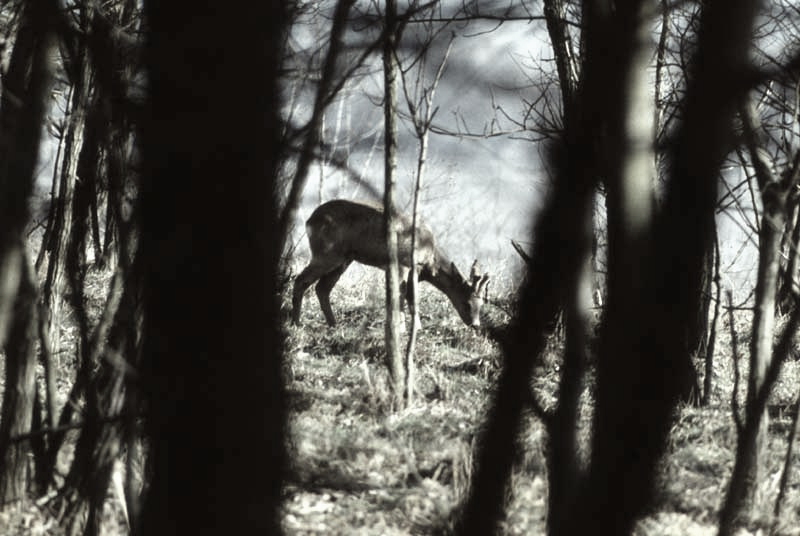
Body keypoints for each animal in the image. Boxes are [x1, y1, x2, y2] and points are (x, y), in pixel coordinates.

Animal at [290, 199, 490, 326]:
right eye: (467, 302)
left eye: (482, 304)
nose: (475, 324)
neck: (429, 260)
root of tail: (310, 220)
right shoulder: (405, 264)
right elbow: (406, 297)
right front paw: (407, 328)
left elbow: (402, 297)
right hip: (327, 253)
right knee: (301, 280)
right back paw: (296, 323)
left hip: (344, 259)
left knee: (322, 288)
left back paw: (333, 325)